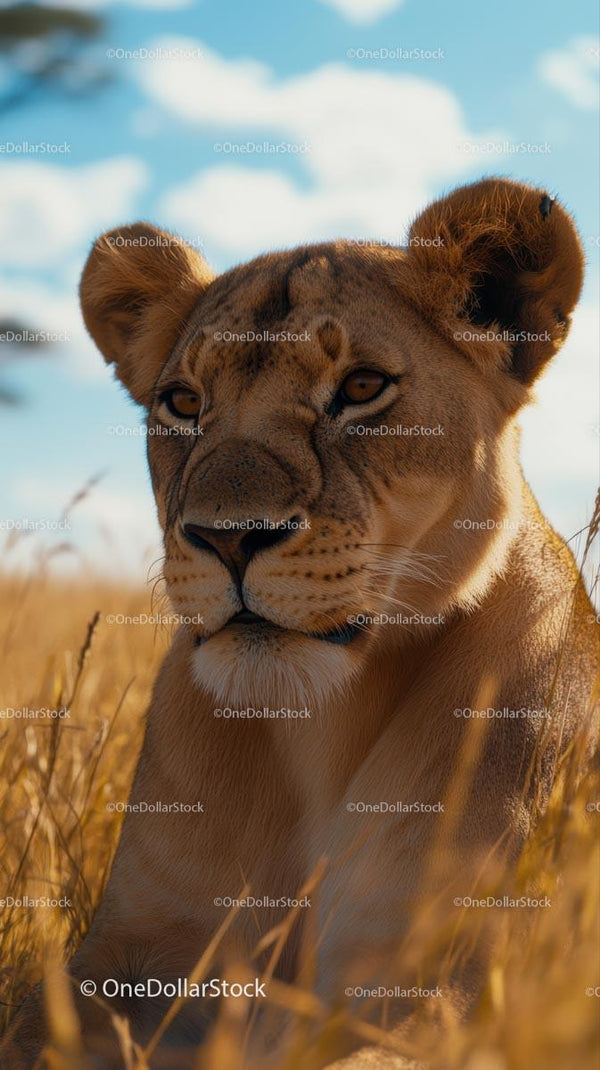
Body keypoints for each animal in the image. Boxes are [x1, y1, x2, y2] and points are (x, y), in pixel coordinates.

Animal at [2, 178, 598, 1069]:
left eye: (361, 388)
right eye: (184, 403)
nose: (228, 538)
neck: (315, 731)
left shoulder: (447, 985)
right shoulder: (125, 955)